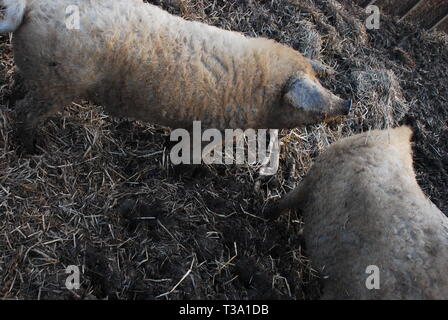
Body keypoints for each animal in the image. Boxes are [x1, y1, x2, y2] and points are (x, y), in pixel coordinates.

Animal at [0, 0, 350, 152]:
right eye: (312, 103)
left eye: (318, 79)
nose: (346, 103)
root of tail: (30, 6)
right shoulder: (212, 129)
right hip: (57, 84)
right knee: (24, 112)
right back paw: (34, 148)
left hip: (40, 74)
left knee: (19, 89)